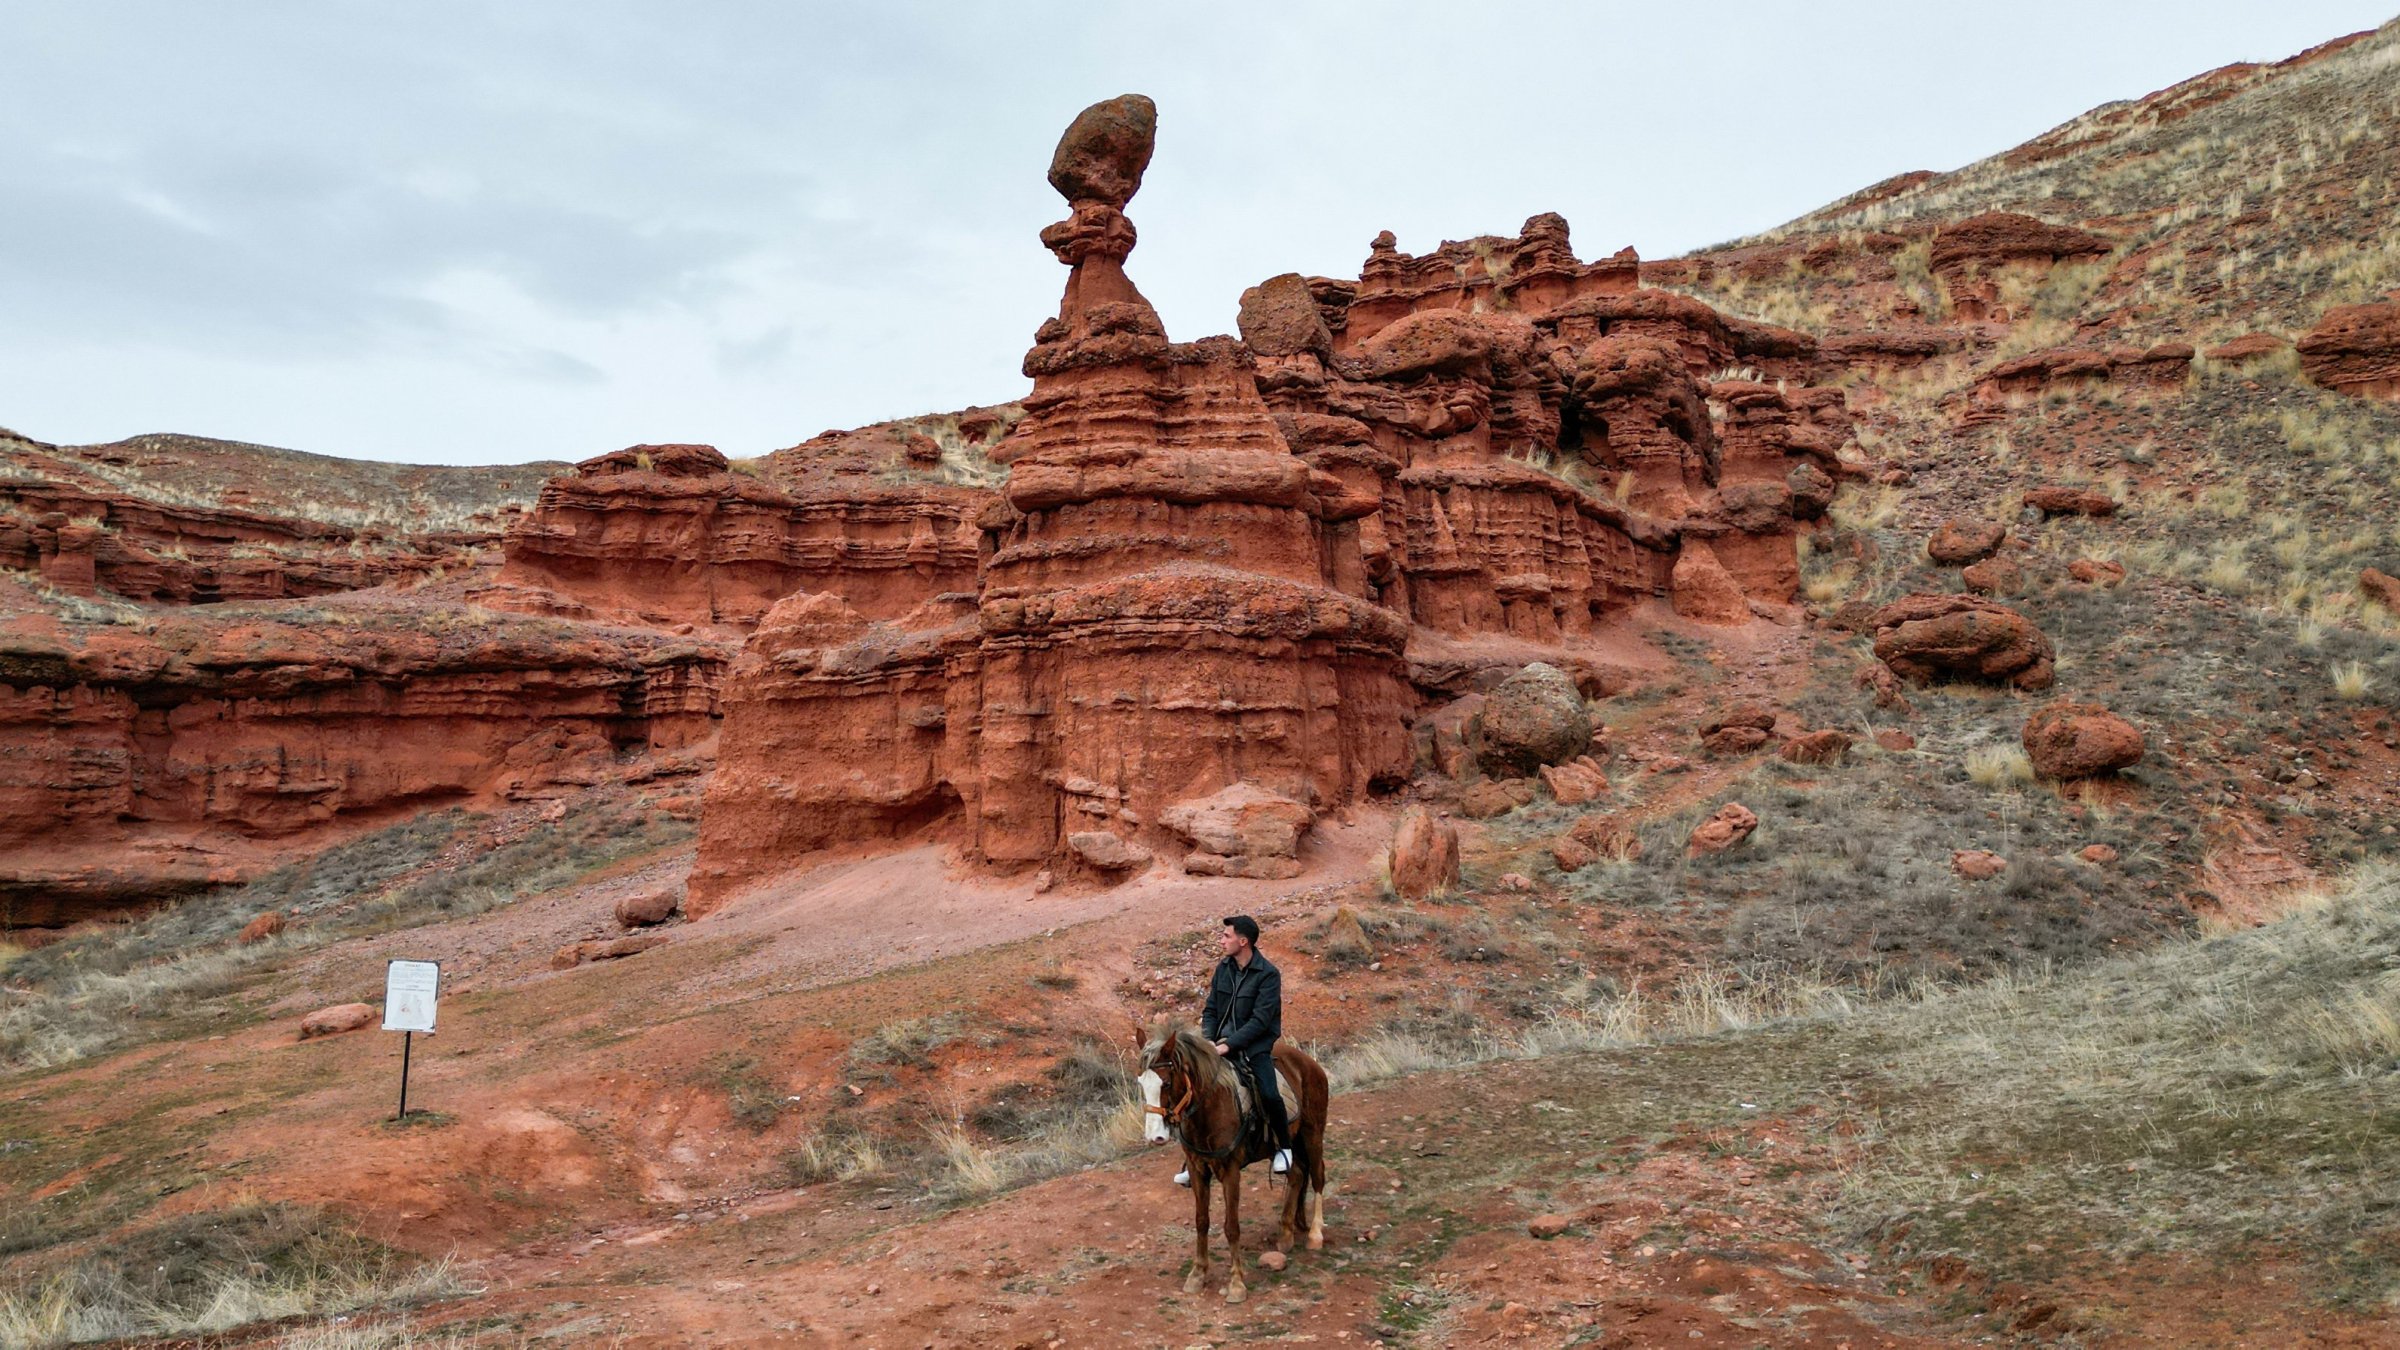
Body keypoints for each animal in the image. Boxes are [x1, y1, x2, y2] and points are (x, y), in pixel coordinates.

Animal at [1137, 1017, 1328, 1303]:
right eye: (1141, 1083)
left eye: (1166, 1083)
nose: (1155, 1136)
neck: (1210, 1105)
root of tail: (1309, 1063)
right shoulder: (1197, 1169)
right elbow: (1201, 1221)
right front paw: (1197, 1274)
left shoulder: (1230, 1171)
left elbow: (1231, 1226)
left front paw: (1237, 1283)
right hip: (1288, 1143)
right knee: (1296, 1175)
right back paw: (1285, 1232)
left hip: (1313, 1132)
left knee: (1317, 1176)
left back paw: (1315, 1234)